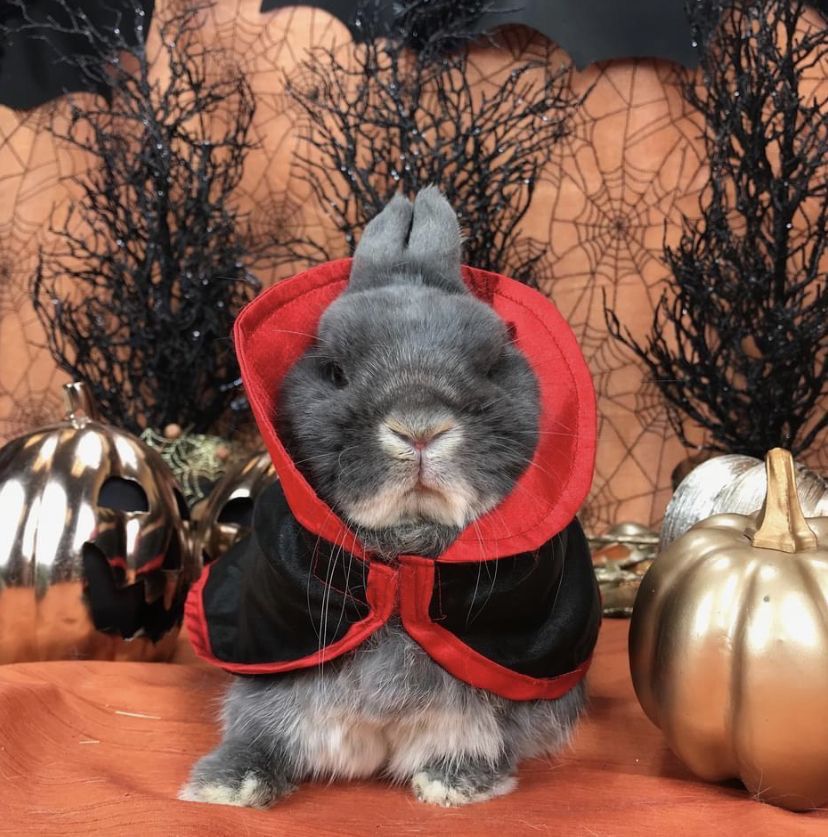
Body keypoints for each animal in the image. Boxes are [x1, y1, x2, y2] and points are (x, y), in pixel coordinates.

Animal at [180, 186, 590, 808]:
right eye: (334, 372)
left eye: (493, 364)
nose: (419, 429)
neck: (403, 556)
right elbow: (259, 728)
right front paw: (227, 785)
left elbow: (486, 737)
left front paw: (453, 784)